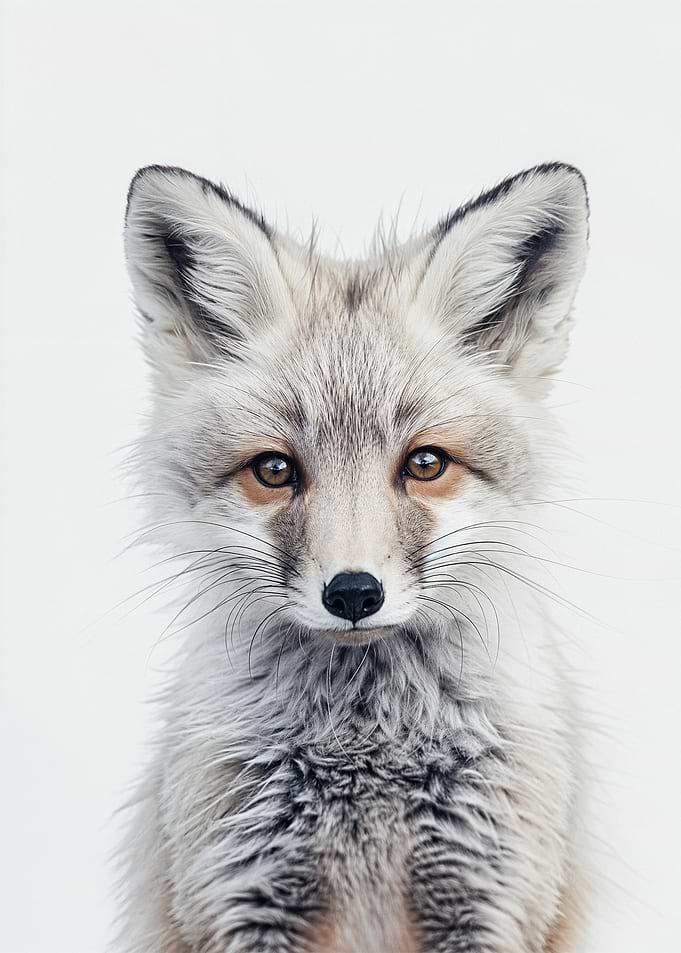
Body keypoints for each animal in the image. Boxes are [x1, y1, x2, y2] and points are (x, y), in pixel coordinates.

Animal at [117, 161, 590, 953]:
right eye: (274, 470)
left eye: (426, 463)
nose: (353, 594)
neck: (364, 744)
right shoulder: (242, 891)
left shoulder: (488, 889)